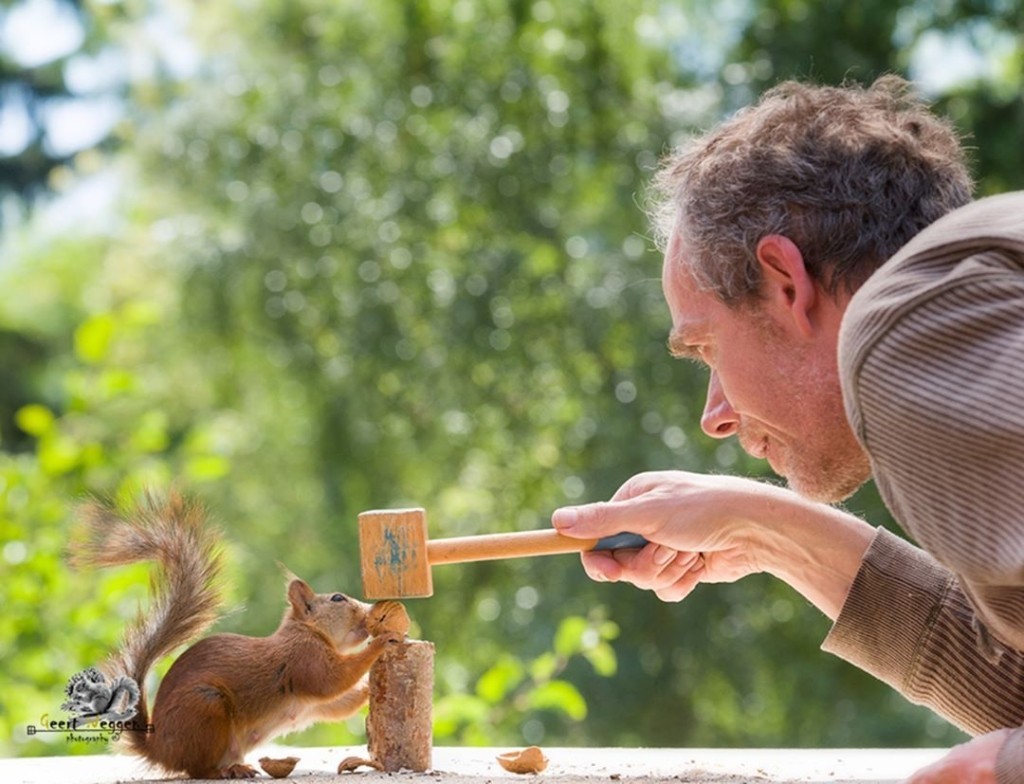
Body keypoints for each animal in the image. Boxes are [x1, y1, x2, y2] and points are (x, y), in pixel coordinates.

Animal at [70, 491, 399, 777]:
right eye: (338, 599)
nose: (369, 612)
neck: (308, 631)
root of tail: (159, 750)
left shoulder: (311, 704)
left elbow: (337, 705)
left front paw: (368, 689)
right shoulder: (303, 658)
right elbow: (333, 681)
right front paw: (381, 644)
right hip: (206, 707)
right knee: (197, 770)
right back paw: (225, 771)